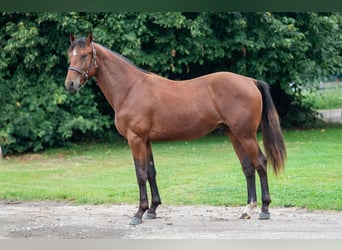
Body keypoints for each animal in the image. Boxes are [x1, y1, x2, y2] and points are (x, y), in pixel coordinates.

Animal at [64, 32, 286, 226]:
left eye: (84, 55)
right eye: (69, 55)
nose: (70, 84)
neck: (131, 88)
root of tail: (250, 81)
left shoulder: (135, 139)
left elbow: (140, 174)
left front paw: (139, 213)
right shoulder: (146, 140)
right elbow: (151, 172)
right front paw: (153, 209)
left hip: (246, 135)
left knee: (260, 163)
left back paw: (265, 209)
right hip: (233, 134)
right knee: (248, 167)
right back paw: (247, 209)